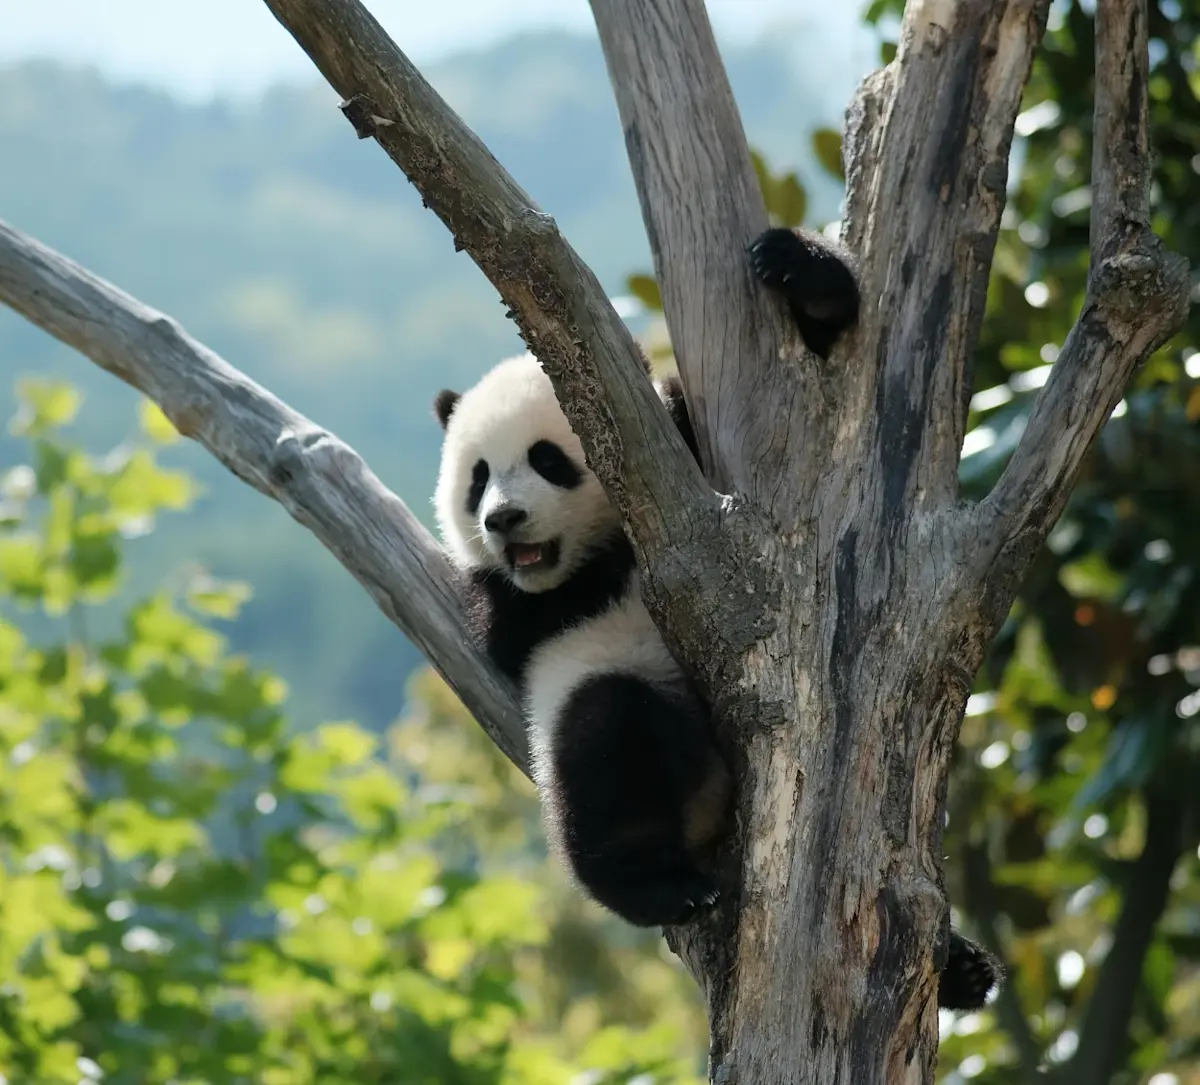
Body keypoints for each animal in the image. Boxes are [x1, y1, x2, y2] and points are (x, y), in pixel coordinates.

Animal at [432, 226, 1002, 1010]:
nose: (503, 519)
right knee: (604, 746)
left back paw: (962, 967)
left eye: (547, 460)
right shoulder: (517, 607)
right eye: (478, 477)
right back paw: (662, 886)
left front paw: (802, 273)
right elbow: (523, 625)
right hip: (616, 710)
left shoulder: (684, 448)